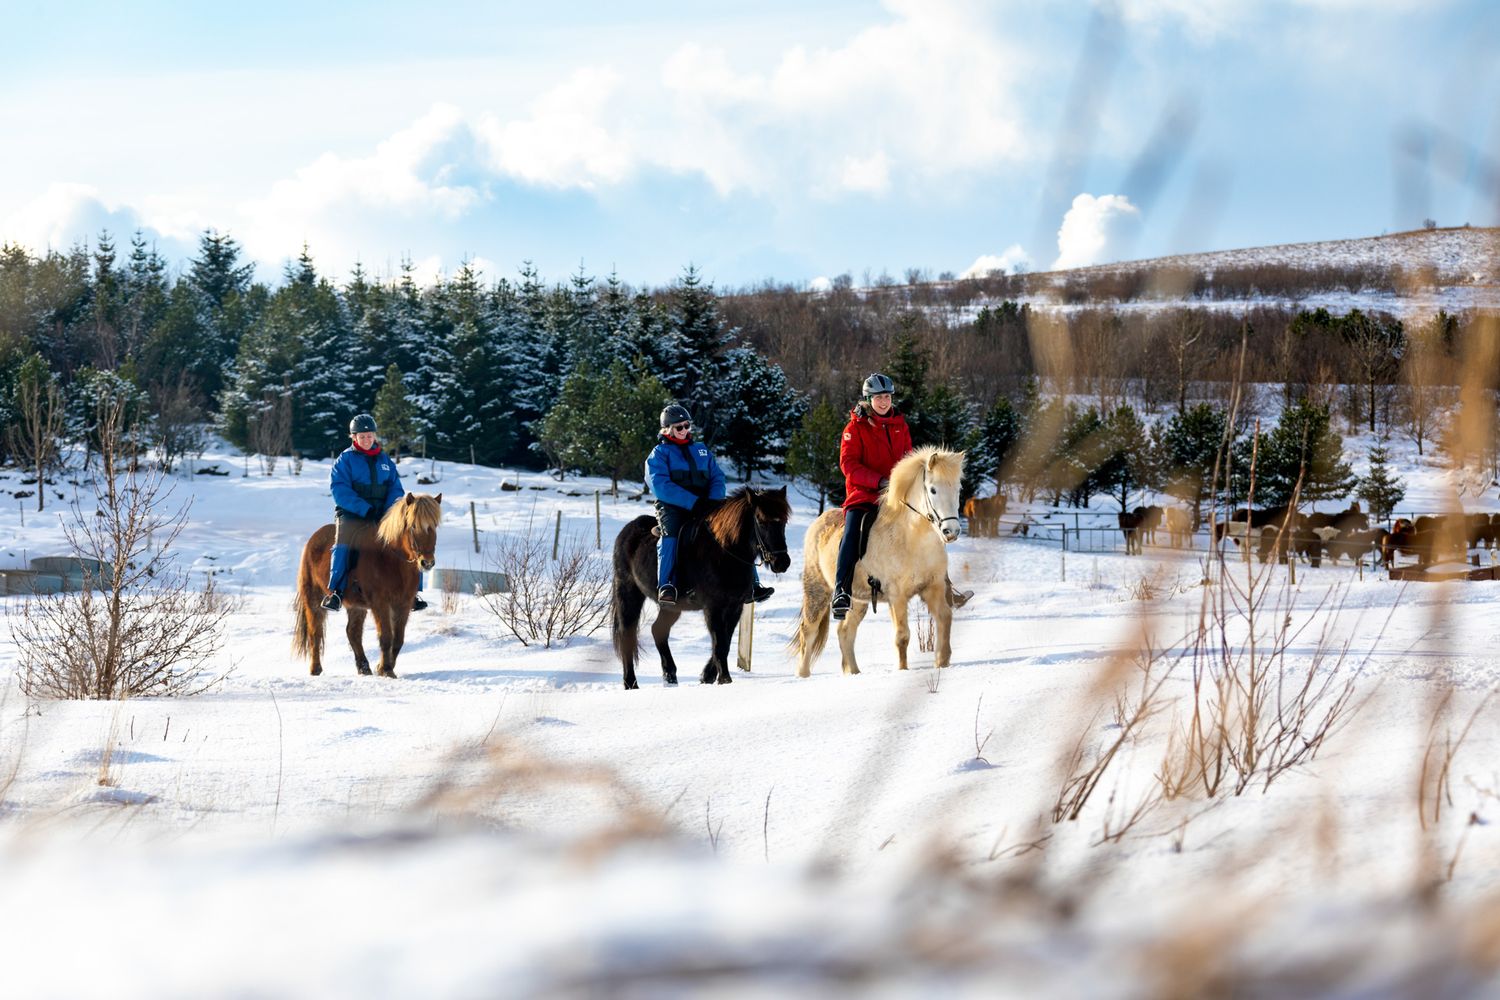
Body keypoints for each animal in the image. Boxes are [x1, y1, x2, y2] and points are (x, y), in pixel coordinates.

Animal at [293, 493, 443, 678]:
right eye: (413, 526)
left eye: (434, 525)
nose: (427, 563)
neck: (391, 560)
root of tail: (313, 539)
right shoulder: (380, 603)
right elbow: (386, 636)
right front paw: (386, 669)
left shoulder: (403, 604)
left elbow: (398, 639)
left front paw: (383, 667)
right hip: (313, 598)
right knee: (316, 632)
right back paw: (316, 669)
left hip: (357, 607)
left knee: (353, 633)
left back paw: (364, 668)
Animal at [612, 487, 792, 690]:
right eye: (761, 521)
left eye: (783, 522)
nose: (782, 562)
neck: (723, 553)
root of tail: (627, 531)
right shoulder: (713, 607)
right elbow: (719, 644)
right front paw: (724, 680)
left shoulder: (735, 607)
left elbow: (725, 642)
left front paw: (708, 676)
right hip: (629, 594)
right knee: (627, 634)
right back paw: (631, 683)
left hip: (672, 607)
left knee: (658, 630)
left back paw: (670, 676)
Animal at [792, 447, 964, 676]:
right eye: (933, 490)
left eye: (958, 489)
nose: (951, 532)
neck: (913, 539)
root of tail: (818, 522)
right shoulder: (897, 596)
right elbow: (902, 636)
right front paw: (902, 670)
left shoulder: (933, 587)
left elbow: (944, 619)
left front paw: (941, 663)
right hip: (817, 590)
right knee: (808, 631)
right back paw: (803, 675)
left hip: (858, 601)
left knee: (845, 631)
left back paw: (854, 672)